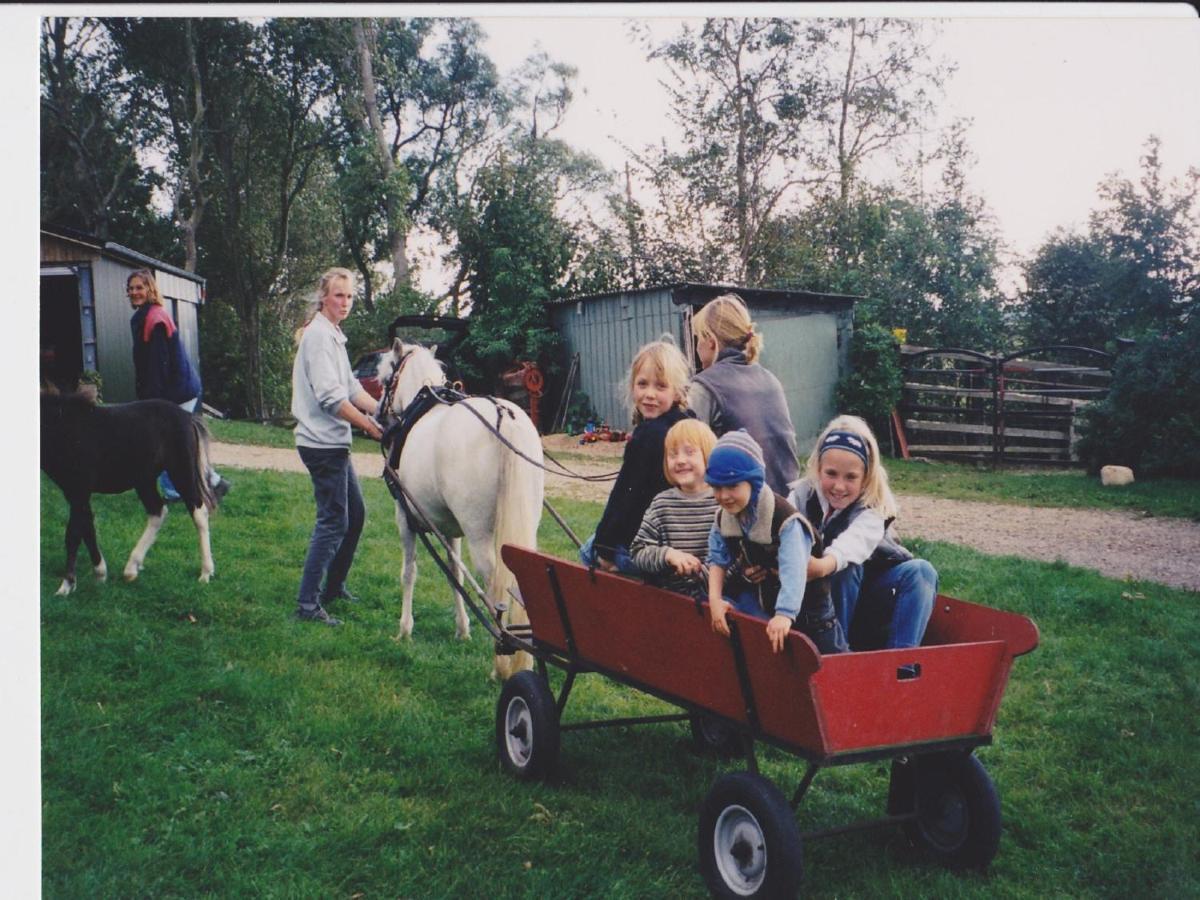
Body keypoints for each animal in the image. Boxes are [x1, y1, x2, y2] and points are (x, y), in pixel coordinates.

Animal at [40, 391, 220, 595]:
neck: (64, 426)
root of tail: (188, 417)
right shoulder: (74, 493)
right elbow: (88, 528)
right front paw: (100, 574)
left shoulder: (79, 490)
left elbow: (73, 534)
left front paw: (66, 586)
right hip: (144, 480)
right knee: (158, 511)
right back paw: (131, 569)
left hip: (181, 471)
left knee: (198, 512)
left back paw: (205, 573)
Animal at [379, 340, 544, 681]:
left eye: (386, 377)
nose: (378, 414)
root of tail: (505, 415)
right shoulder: (450, 529)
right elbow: (455, 573)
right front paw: (463, 629)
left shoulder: (405, 520)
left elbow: (409, 573)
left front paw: (404, 630)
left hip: (479, 533)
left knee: (495, 584)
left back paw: (500, 663)